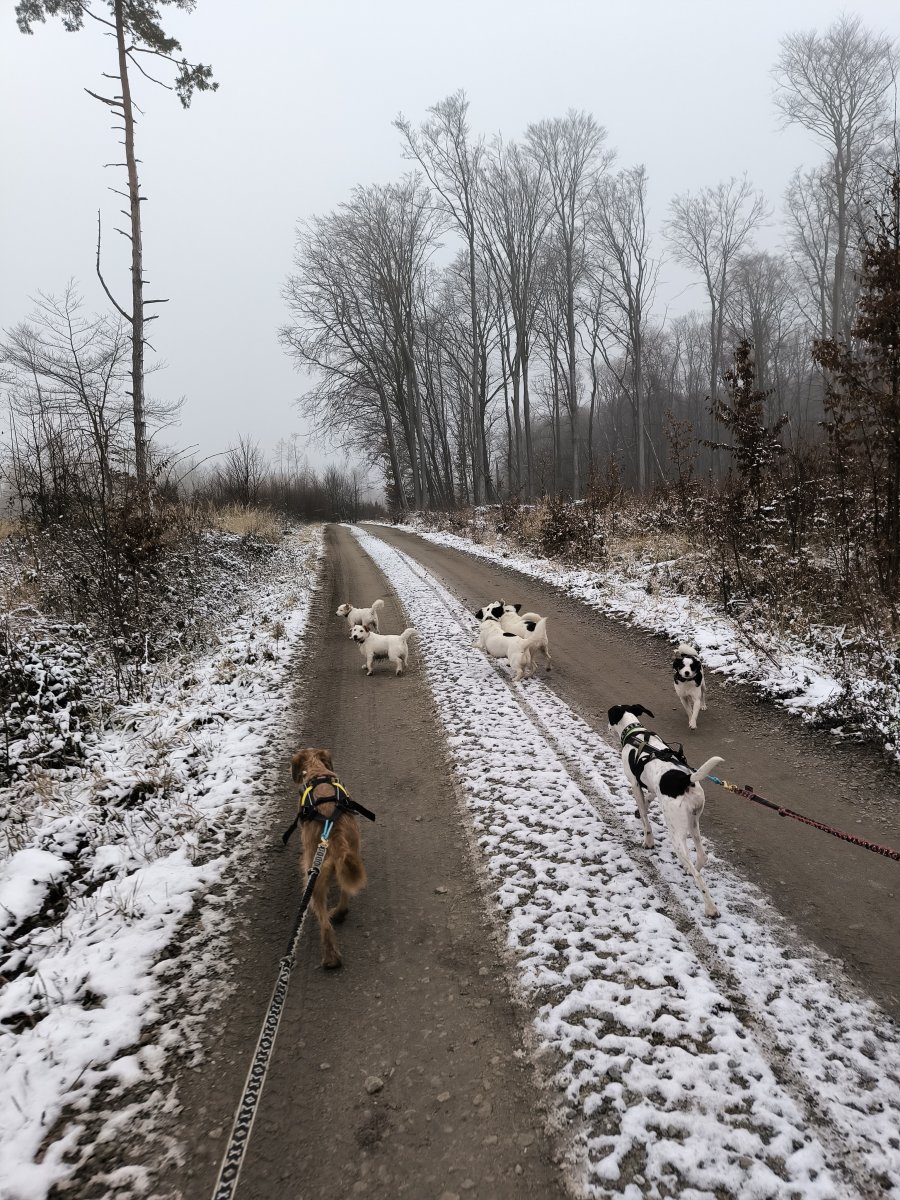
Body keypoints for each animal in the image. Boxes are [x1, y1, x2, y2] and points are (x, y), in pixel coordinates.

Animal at [291, 748, 367, 969]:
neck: (317, 771)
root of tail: (334, 834)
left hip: (314, 877)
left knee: (324, 922)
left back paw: (331, 958)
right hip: (350, 855)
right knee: (345, 890)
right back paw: (340, 913)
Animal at [607, 703, 723, 918]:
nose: (607, 725)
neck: (636, 734)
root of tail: (686, 780)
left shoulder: (635, 784)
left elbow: (645, 818)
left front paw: (648, 840)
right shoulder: (651, 787)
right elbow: (649, 799)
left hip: (676, 831)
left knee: (697, 874)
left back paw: (710, 908)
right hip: (693, 822)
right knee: (701, 857)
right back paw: (690, 869)